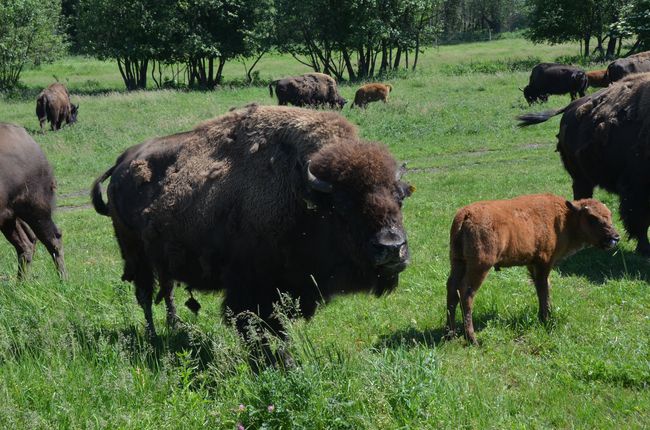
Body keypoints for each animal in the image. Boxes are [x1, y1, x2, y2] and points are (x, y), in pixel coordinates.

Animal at [0, 122, 67, 280]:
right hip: (10, 218)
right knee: (25, 244)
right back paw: (20, 284)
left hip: (36, 212)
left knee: (53, 240)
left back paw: (63, 280)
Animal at [91, 105, 410, 346]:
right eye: (342, 206)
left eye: (399, 198)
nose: (392, 248)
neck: (302, 193)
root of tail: (122, 163)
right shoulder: (250, 288)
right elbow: (254, 324)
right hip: (134, 254)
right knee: (145, 295)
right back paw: (153, 336)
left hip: (160, 255)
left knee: (166, 290)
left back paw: (175, 327)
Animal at [446, 193, 616, 344]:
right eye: (592, 217)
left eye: (610, 215)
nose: (615, 237)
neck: (565, 217)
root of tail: (465, 215)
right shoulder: (544, 262)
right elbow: (543, 289)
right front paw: (546, 320)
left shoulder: (532, 264)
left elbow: (544, 288)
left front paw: (547, 316)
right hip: (480, 266)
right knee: (466, 293)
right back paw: (472, 339)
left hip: (458, 262)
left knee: (452, 290)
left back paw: (450, 334)